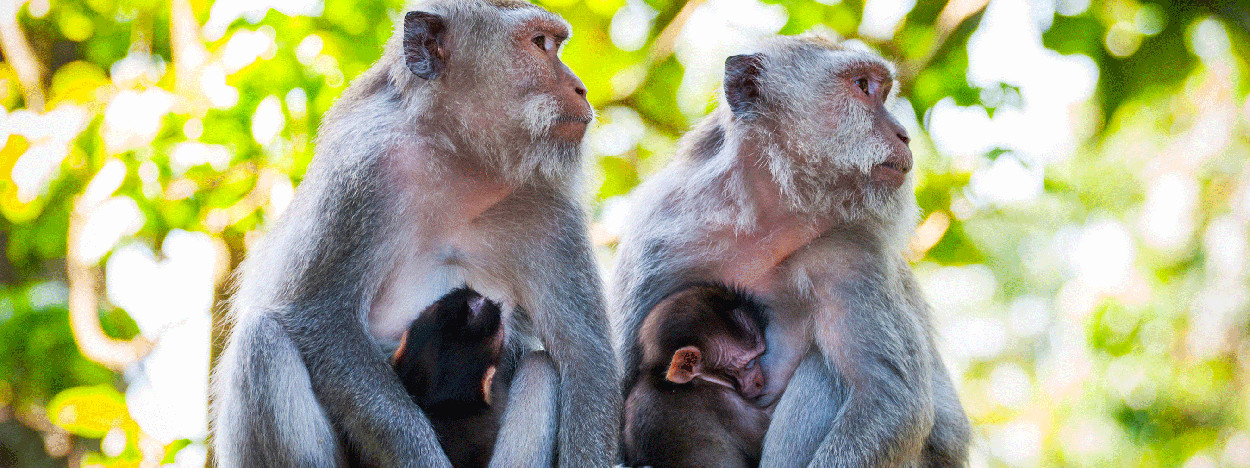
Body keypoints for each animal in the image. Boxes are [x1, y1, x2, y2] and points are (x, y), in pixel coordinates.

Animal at [218, 1, 620, 465]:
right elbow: (322, 318)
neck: (461, 162)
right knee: (262, 340)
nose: (580, 88)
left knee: (541, 369)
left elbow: (584, 358)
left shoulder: (549, 205)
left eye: (556, 43)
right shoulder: (361, 174)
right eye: (541, 44)